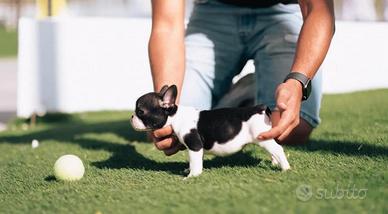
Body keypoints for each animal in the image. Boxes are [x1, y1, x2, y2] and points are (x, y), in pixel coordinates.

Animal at [131, 84, 292, 178]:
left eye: (140, 111)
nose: (132, 117)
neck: (176, 116)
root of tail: (260, 108)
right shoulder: (197, 149)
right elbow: (195, 161)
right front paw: (189, 170)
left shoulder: (195, 146)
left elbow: (195, 162)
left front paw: (192, 176)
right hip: (265, 137)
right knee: (273, 150)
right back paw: (275, 164)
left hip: (262, 137)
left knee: (278, 149)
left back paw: (285, 168)